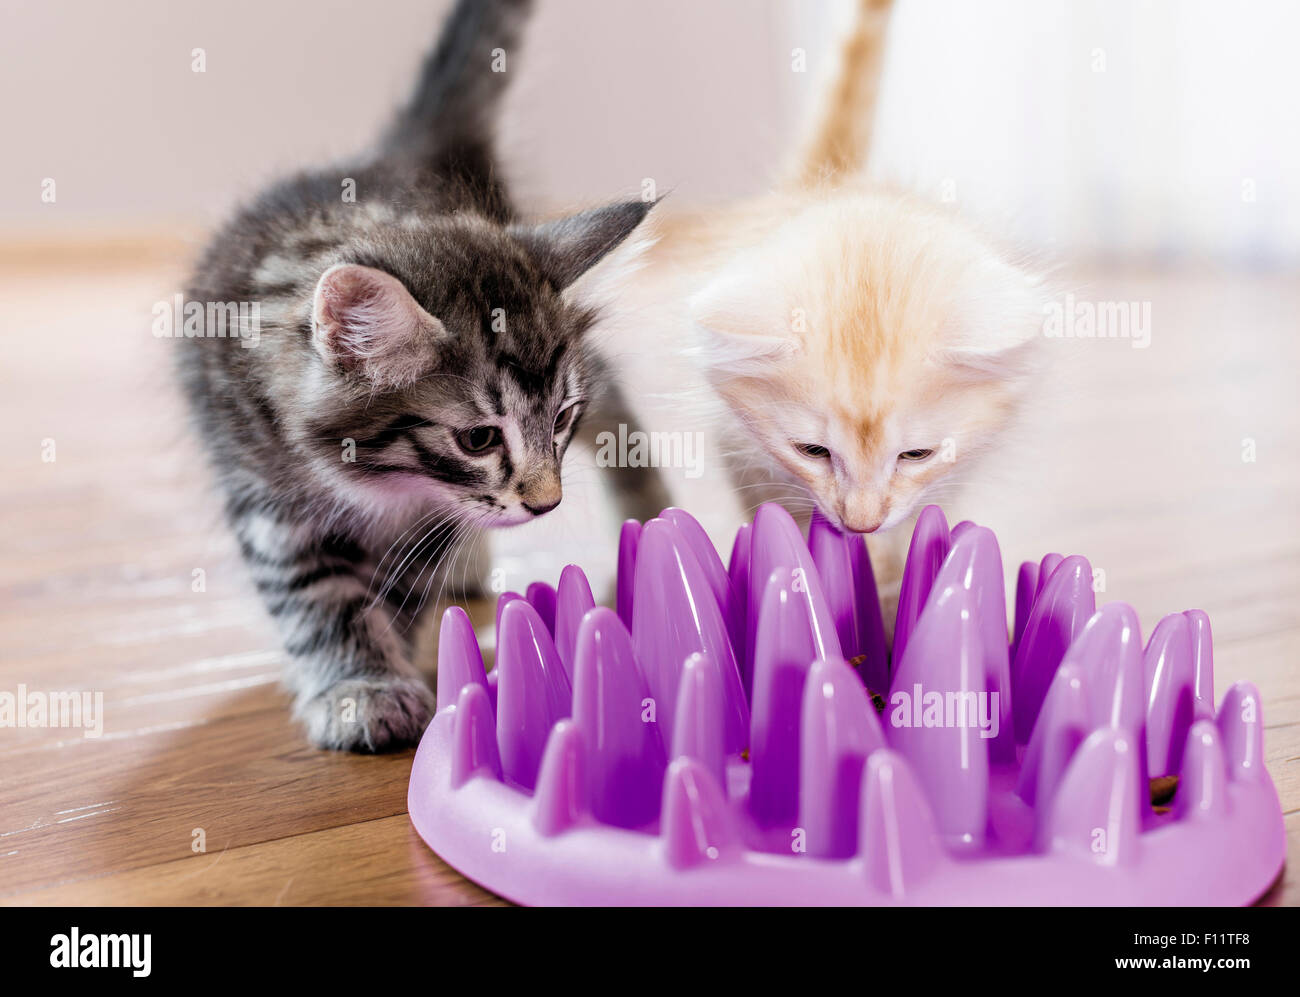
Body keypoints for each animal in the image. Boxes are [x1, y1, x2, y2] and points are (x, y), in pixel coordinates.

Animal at [178, 0, 665, 748]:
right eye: (478, 439)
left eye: (560, 418)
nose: (546, 504)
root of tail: (396, 154)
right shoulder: (264, 487)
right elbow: (318, 594)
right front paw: (359, 684)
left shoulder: (430, 515)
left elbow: (404, 579)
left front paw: (392, 656)